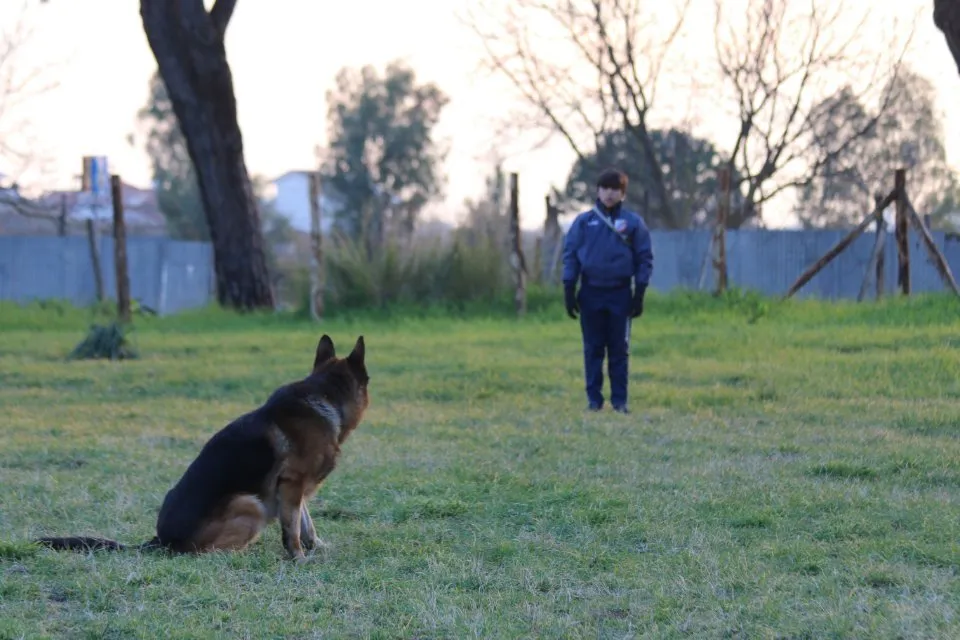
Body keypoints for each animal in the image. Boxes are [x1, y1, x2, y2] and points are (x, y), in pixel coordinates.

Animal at [37, 332, 370, 564]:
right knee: (206, 553)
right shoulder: (291, 484)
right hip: (250, 504)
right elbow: (293, 530)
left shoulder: (293, 489)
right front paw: (298, 558)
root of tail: (161, 541)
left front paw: (317, 547)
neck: (325, 398)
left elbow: (306, 522)